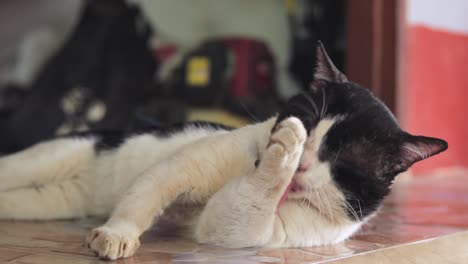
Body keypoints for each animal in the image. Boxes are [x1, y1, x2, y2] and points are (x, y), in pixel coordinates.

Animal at [0, 43, 446, 260]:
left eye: (344, 160)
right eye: (307, 118)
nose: (301, 160)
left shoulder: (247, 233)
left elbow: (237, 213)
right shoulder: (183, 166)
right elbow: (146, 195)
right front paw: (117, 235)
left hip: (44, 203)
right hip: (49, 160)